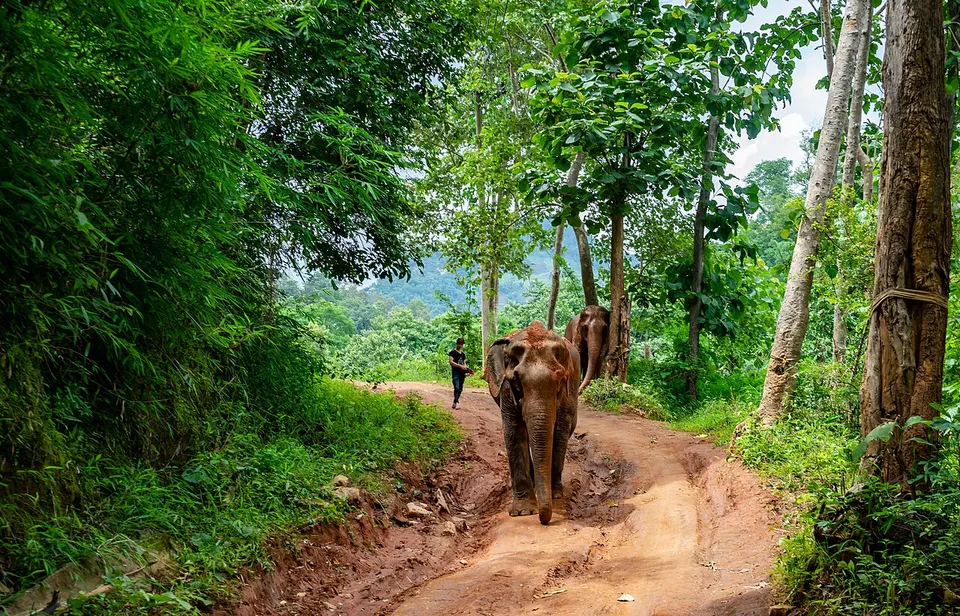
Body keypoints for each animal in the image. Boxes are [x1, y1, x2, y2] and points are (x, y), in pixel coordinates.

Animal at [484, 321, 580, 525]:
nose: (544, 521)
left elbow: (559, 430)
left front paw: (555, 495)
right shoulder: (505, 389)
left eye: (560, 379)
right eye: (516, 379)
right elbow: (513, 431)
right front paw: (524, 512)